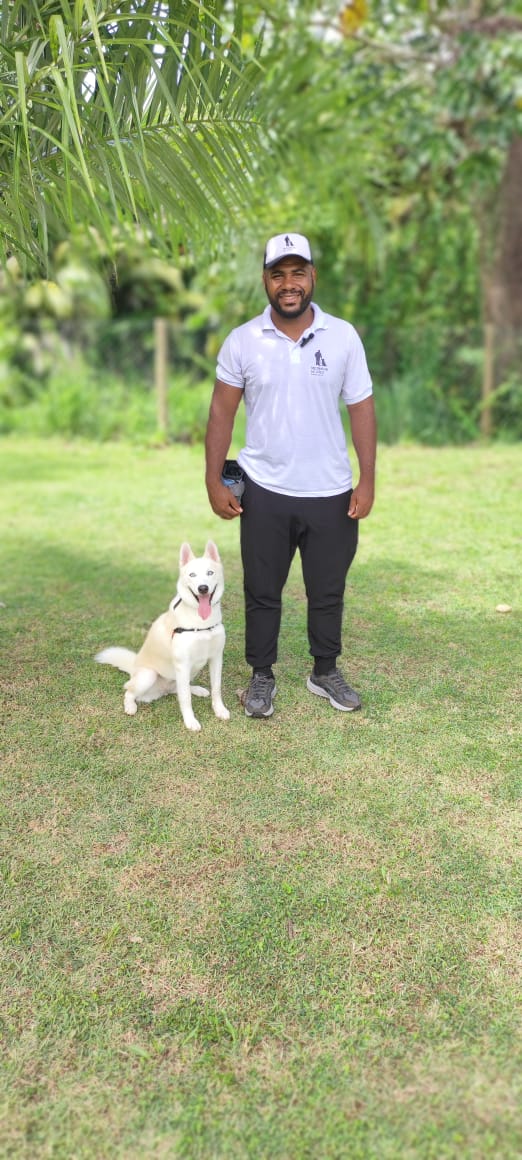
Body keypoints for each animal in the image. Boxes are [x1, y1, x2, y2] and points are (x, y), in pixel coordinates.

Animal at [94, 538, 229, 728]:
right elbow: (185, 698)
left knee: (177, 689)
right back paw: (130, 706)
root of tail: (133, 667)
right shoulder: (182, 664)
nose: (203, 588)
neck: (201, 623)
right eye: (192, 575)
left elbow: (216, 688)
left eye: (210, 573)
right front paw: (190, 721)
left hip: (190, 671)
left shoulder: (216, 658)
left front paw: (219, 710)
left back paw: (197, 689)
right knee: (129, 691)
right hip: (149, 675)